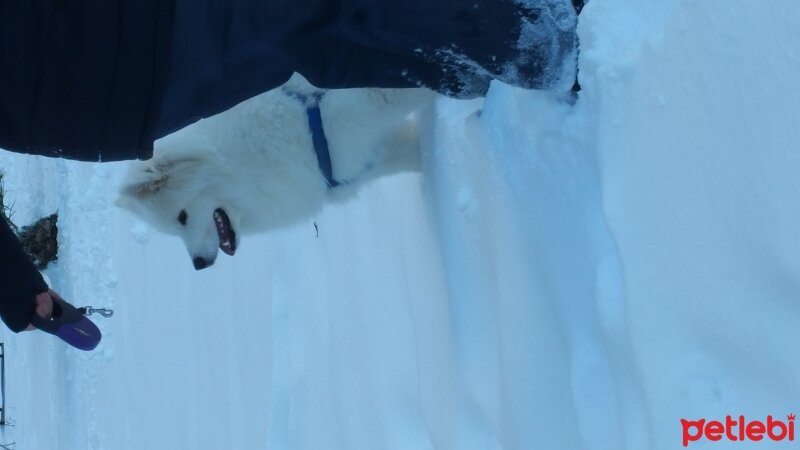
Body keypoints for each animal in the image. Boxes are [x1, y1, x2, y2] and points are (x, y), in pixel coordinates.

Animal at [115, 75, 434, 268]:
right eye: (173, 231)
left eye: (182, 217)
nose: (199, 265)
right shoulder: (357, 158)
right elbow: (413, 154)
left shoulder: (363, 100)